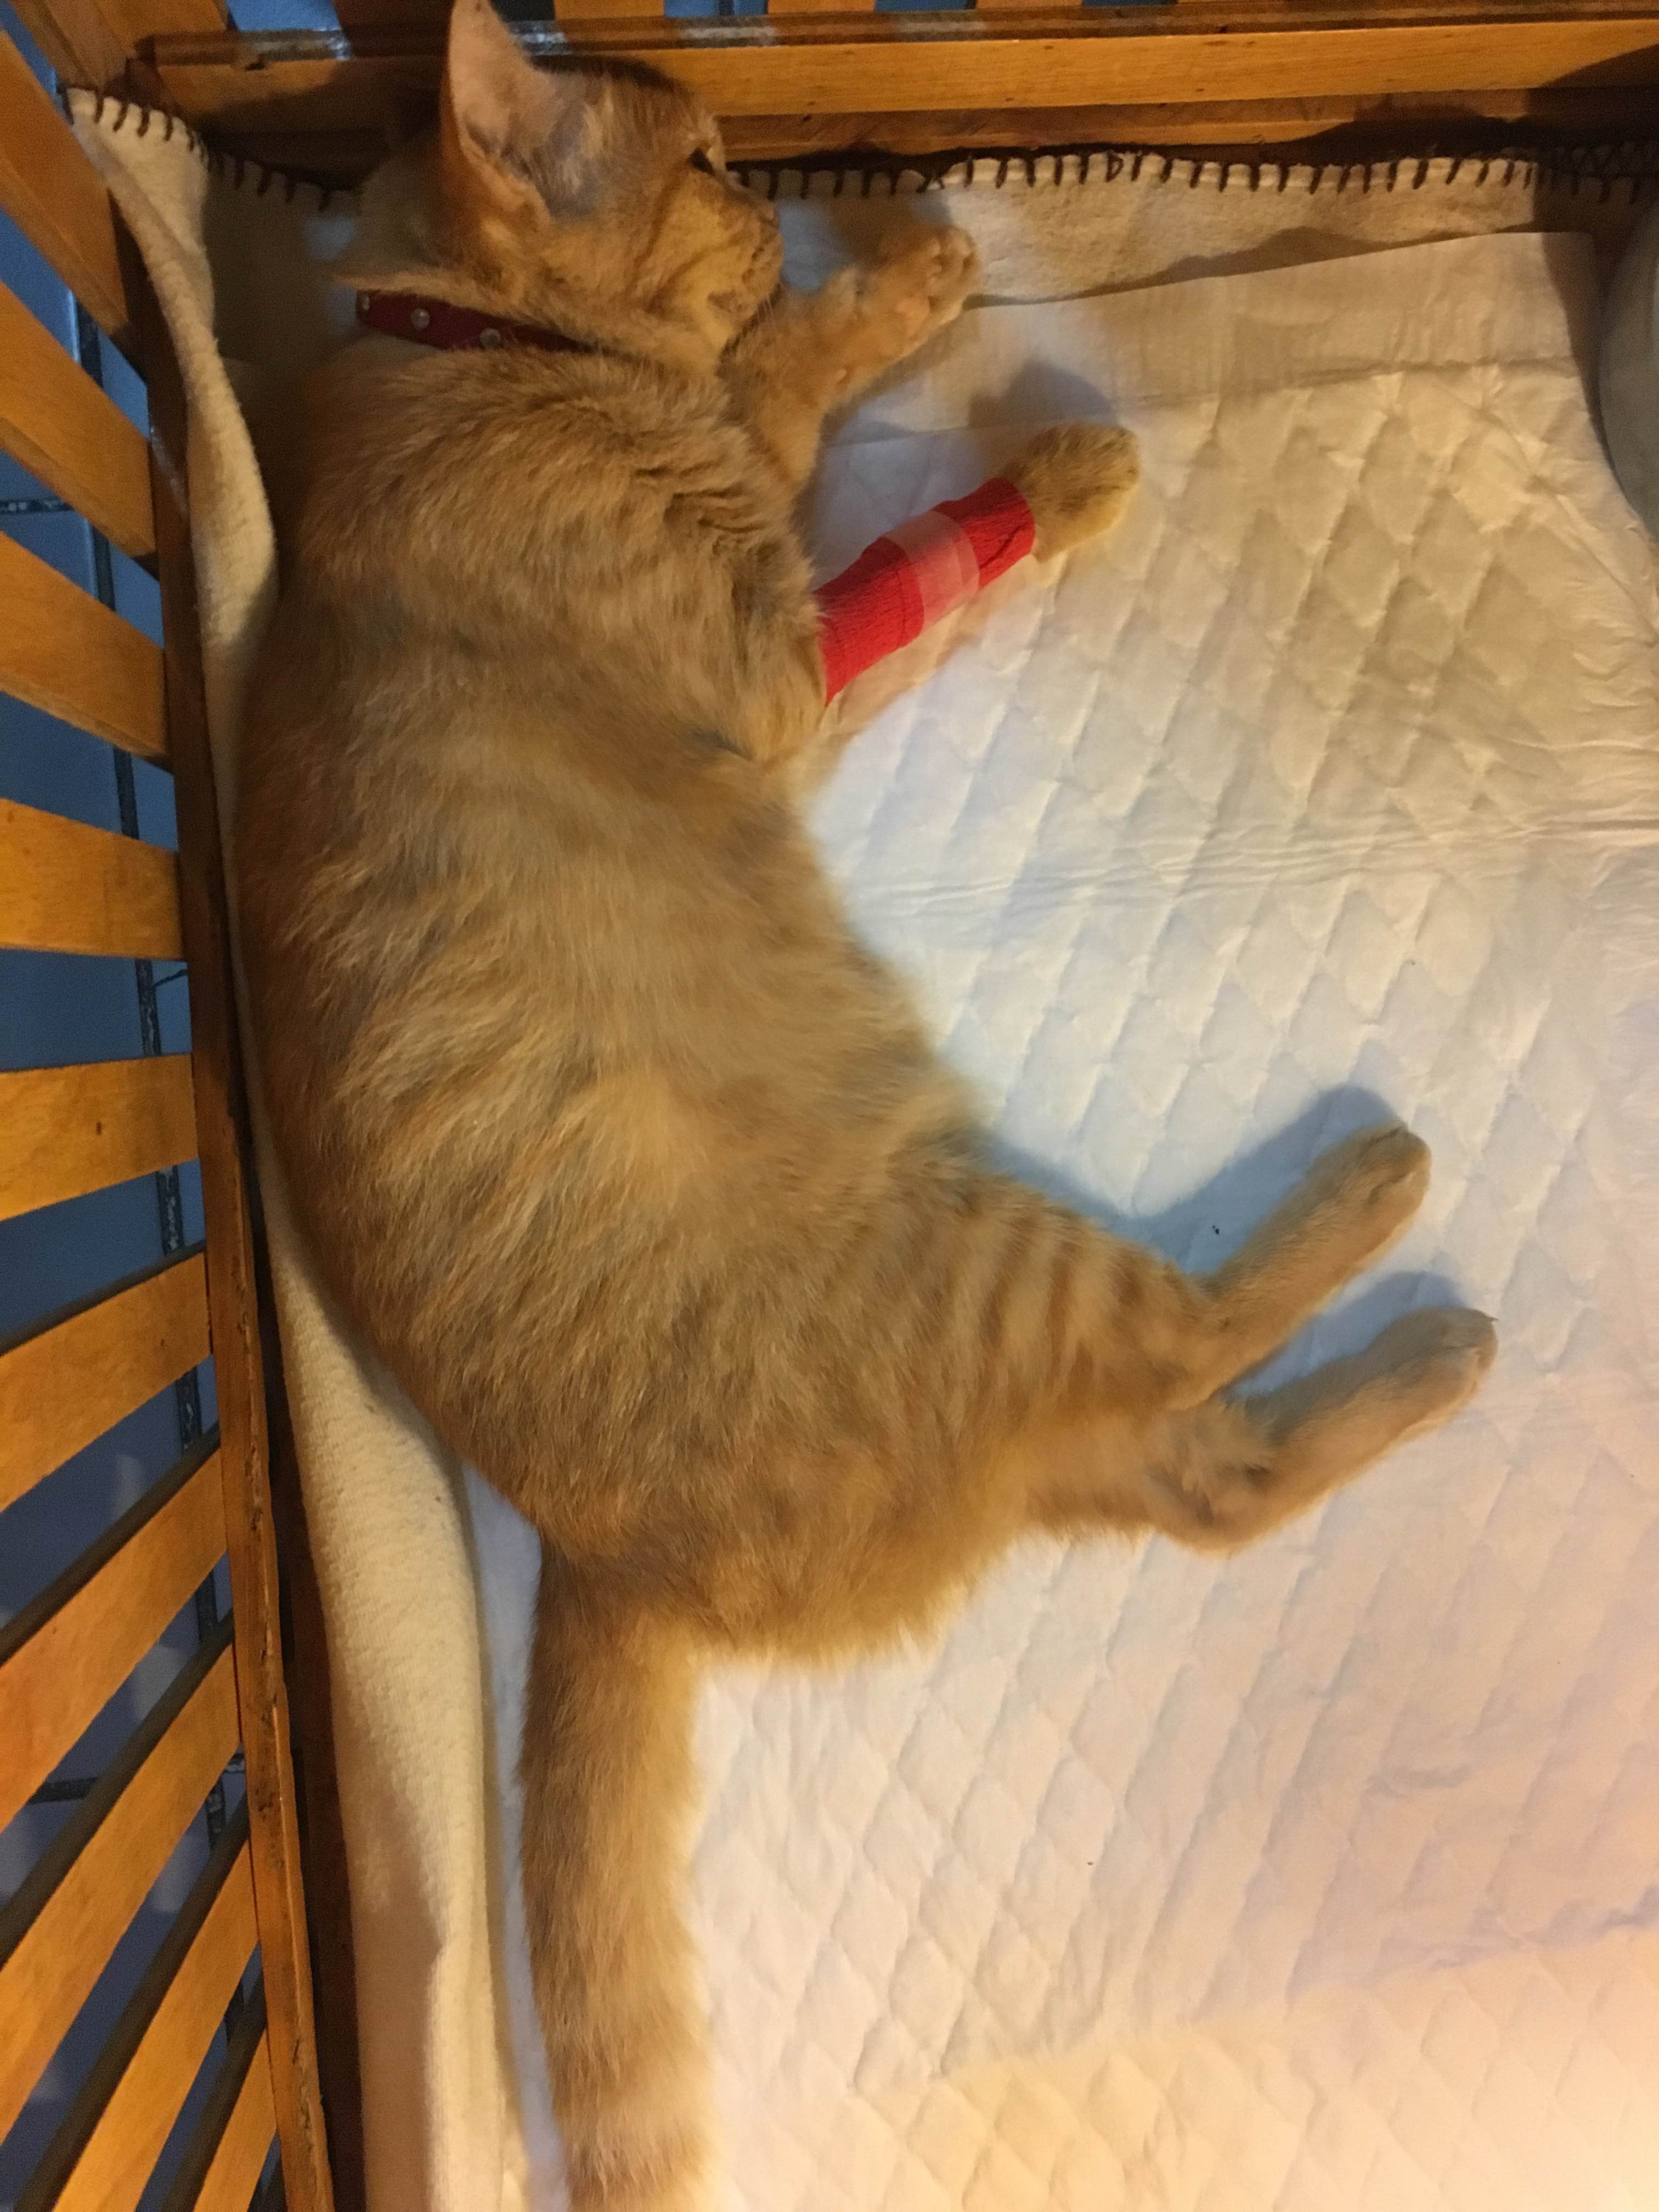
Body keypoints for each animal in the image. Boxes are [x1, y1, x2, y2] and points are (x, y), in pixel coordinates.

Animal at [235, 2, 1498, 2203]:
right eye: (703, 162)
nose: (776, 190)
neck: (443, 352)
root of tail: (600, 1553)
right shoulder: (775, 663)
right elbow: (800, 444)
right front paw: (1007, 427)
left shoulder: (758, 561)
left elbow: (769, 394)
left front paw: (889, 290)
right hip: (995, 1268)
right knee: (1190, 1333)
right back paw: (1377, 1194)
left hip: (1071, 1407)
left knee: (1223, 1482)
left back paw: (1423, 1348)